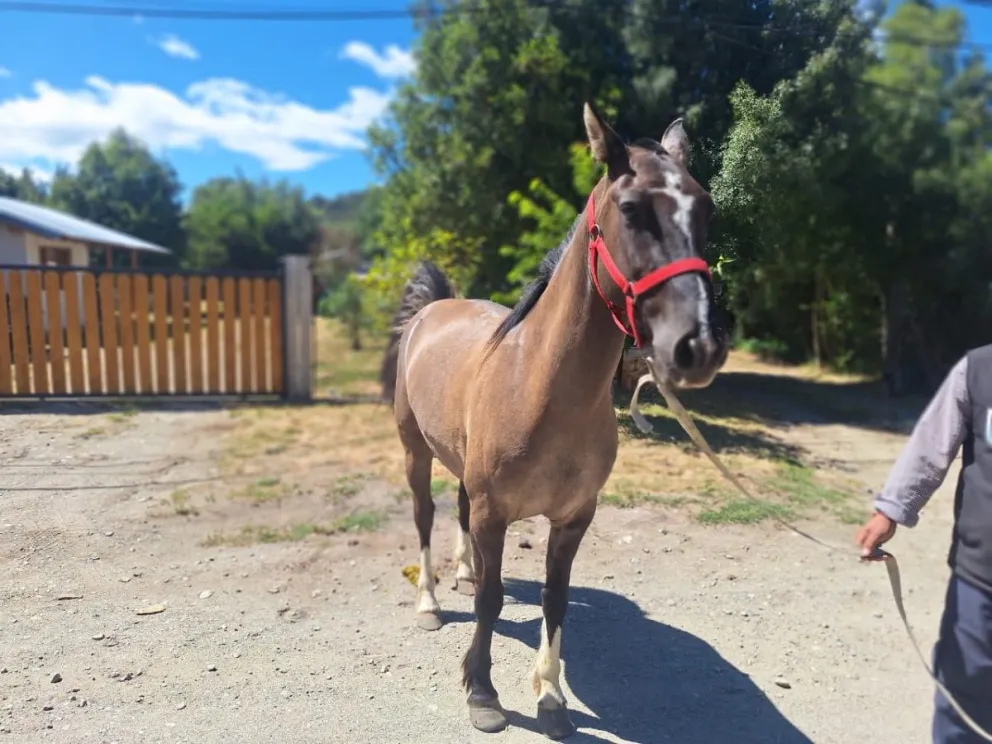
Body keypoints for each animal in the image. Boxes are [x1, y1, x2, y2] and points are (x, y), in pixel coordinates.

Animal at [378, 103, 729, 739]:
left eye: (705, 207)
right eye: (631, 209)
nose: (698, 347)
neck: (539, 386)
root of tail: (434, 309)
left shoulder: (573, 518)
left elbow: (554, 598)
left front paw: (551, 695)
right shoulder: (495, 514)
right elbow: (492, 601)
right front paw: (483, 693)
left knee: (459, 518)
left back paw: (462, 573)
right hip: (416, 451)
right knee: (424, 518)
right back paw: (432, 603)